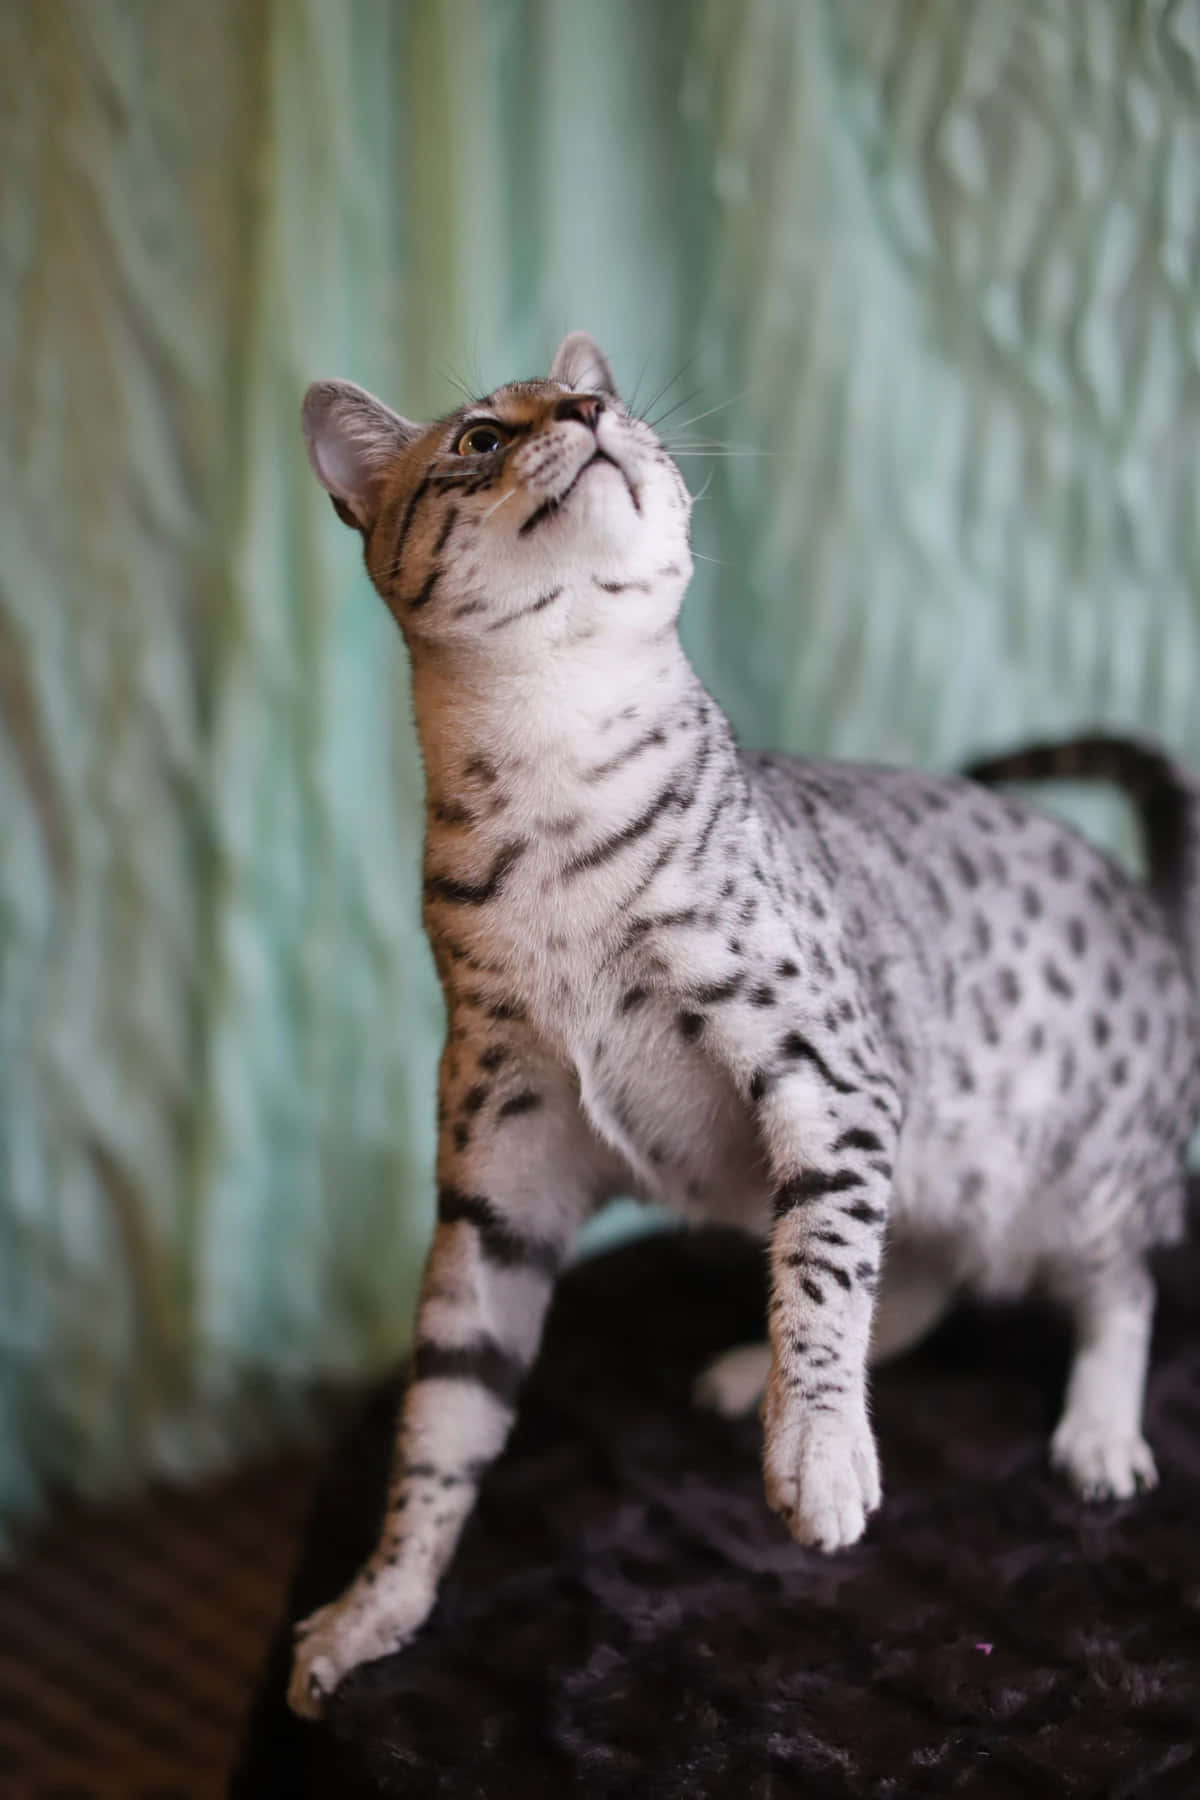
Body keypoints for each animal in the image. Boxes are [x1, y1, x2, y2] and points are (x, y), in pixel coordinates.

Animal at [287, 331, 1200, 1720]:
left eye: (598, 399)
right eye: (482, 438)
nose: (588, 409)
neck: (554, 771)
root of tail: (1150, 906)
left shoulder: (836, 1080)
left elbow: (821, 1269)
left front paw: (818, 1450)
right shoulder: (498, 1181)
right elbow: (443, 1415)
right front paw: (378, 1603)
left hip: (1081, 1173)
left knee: (1118, 1290)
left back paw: (1094, 1431)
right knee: (920, 1270)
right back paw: (743, 1374)